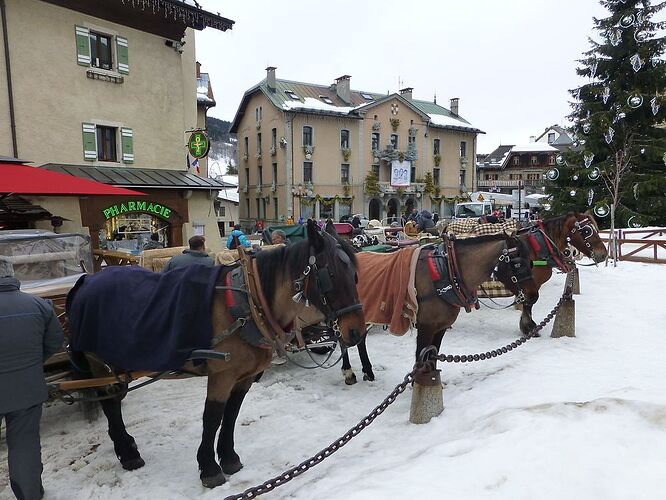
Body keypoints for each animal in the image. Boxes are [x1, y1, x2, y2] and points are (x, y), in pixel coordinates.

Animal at [67, 222, 364, 488]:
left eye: (355, 273)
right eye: (330, 274)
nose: (356, 332)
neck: (250, 302)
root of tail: (86, 280)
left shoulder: (244, 376)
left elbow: (231, 414)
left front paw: (229, 458)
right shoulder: (222, 374)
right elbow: (212, 418)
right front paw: (209, 468)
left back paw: (125, 445)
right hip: (99, 363)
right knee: (110, 403)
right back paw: (127, 452)